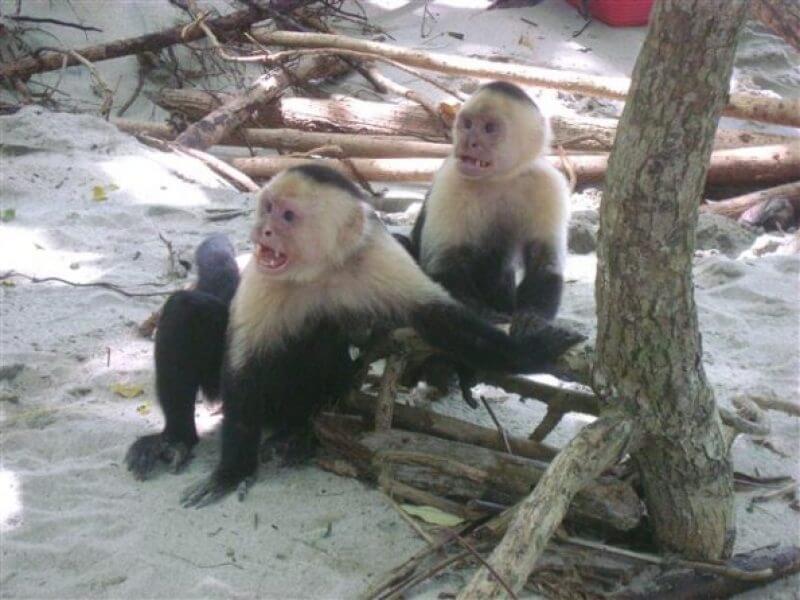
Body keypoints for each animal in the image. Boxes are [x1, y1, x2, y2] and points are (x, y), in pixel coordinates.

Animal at [125, 164, 580, 506]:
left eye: (286, 217)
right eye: (267, 208)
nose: (263, 232)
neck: (322, 270)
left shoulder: (378, 258)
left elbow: (444, 322)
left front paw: (529, 350)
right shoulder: (264, 278)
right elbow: (243, 371)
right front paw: (232, 471)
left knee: (319, 336)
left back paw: (298, 431)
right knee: (189, 313)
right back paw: (177, 439)